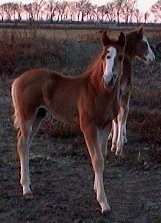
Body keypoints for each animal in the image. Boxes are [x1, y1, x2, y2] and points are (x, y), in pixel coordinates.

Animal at [11, 30, 126, 213]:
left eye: (120, 57)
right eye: (104, 56)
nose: (108, 80)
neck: (97, 91)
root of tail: (17, 80)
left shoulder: (106, 125)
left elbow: (102, 155)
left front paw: (96, 188)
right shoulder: (88, 126)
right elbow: (97, 159)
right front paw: (103, 202)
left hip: (38, 116)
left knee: (25, 144)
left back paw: (27, 183)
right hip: (27, 116)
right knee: (22, 143)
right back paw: (26, 189)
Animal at [110, 26, 155, 157]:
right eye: (145, 44)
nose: (153, 58)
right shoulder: (126, 92)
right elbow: (124, 115)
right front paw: (122, 138)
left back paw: (114, 144)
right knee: (121, 116)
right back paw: (118, 147)